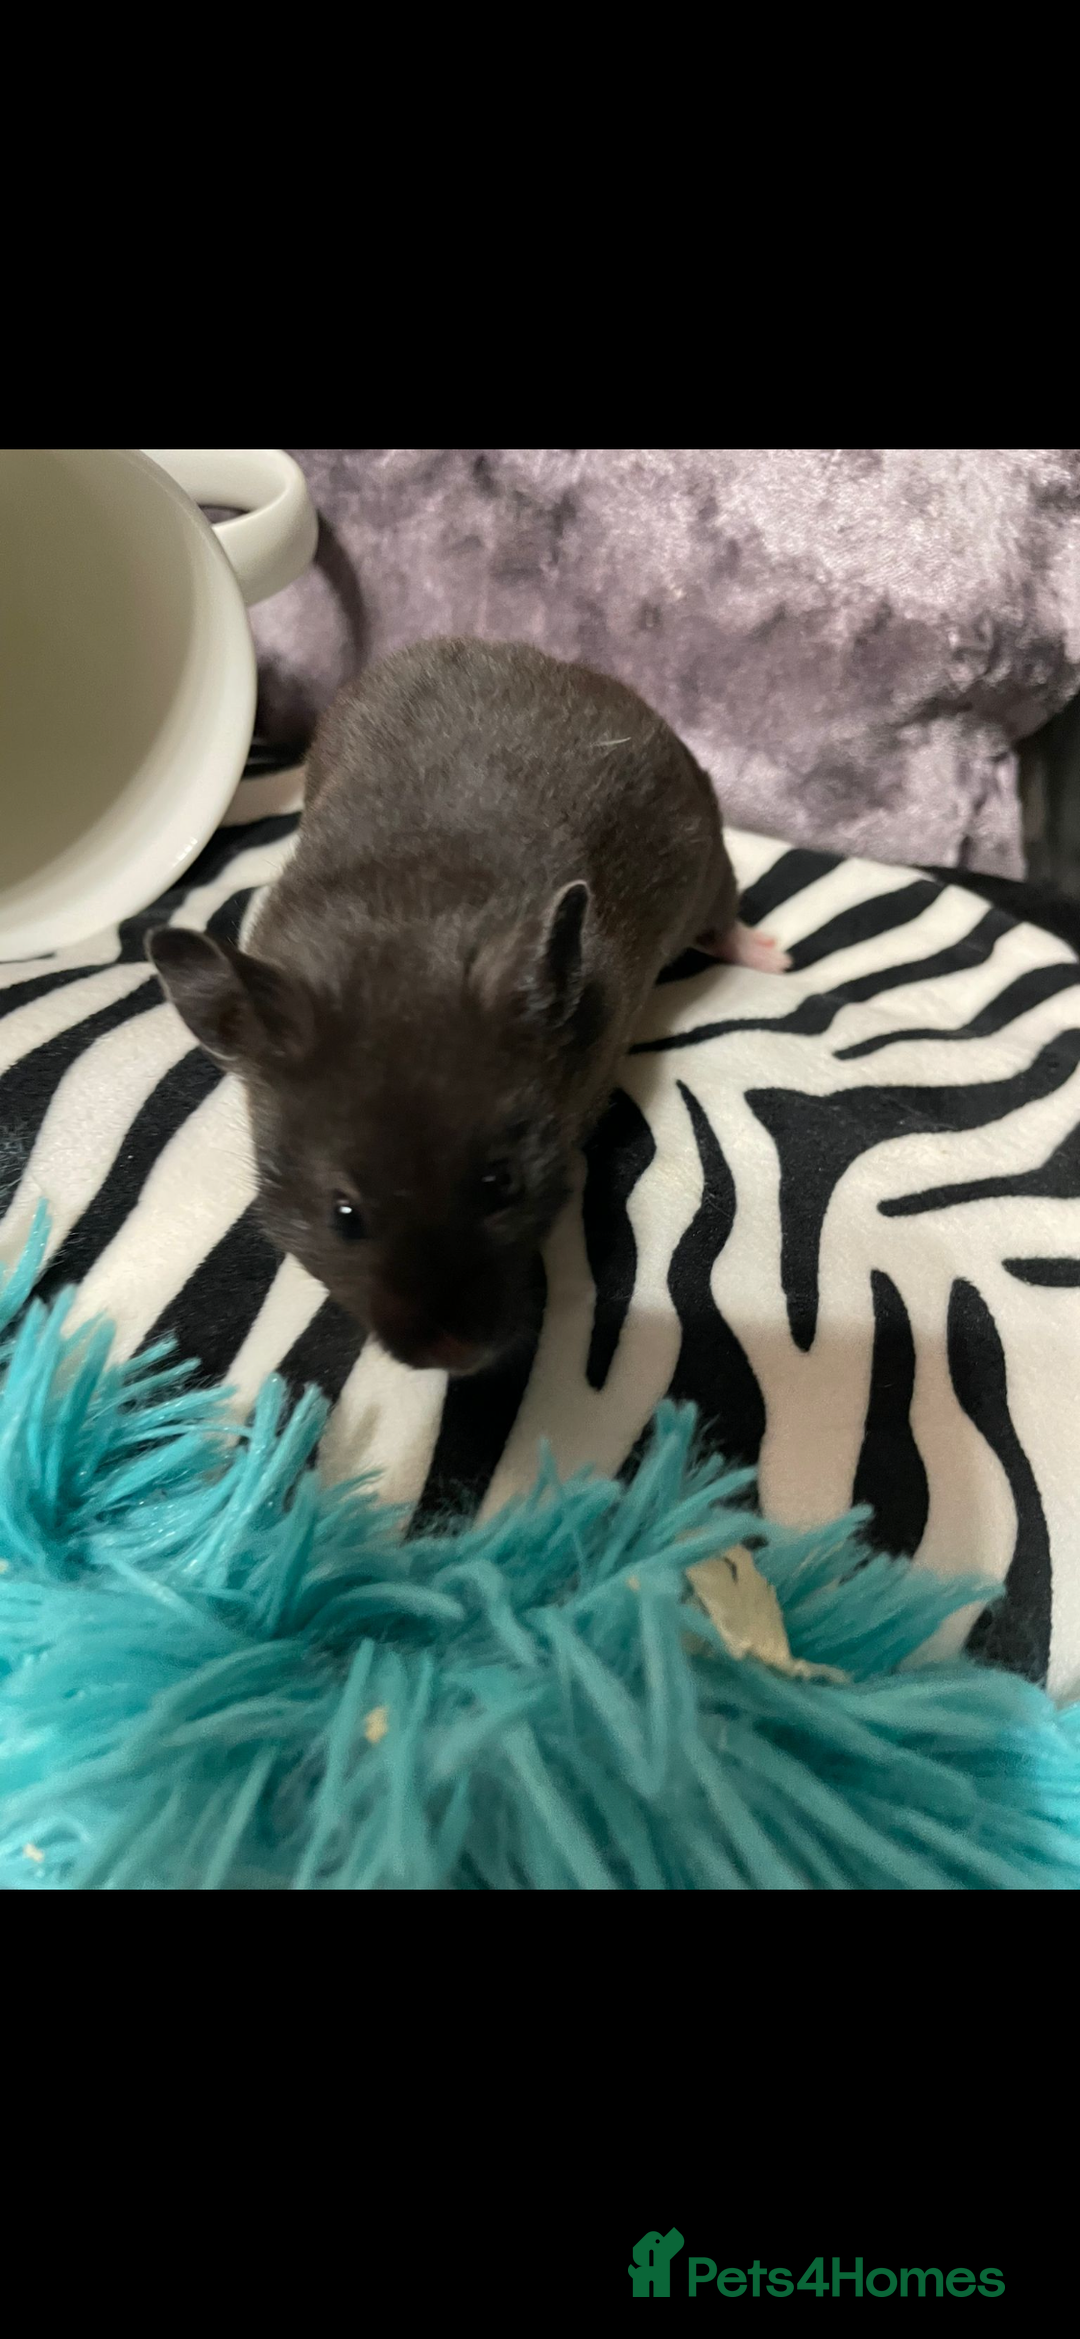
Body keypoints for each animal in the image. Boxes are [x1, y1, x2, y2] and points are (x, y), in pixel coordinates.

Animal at [148, 637, 786, 1375]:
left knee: (727, 918)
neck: (405, 922)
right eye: (344, 1215)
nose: (455, 1357)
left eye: (499, 1182)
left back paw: (778, 958)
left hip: (712, 862)